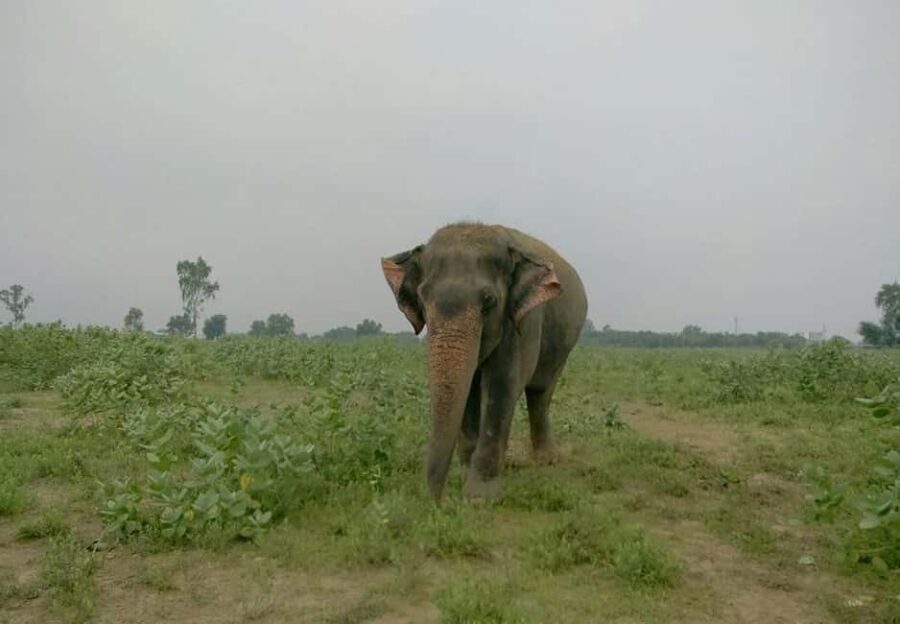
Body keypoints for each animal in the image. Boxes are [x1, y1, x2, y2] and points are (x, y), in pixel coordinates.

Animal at [381, 223, 588, 500]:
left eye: (489, 300)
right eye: (422, 298)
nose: (437, 501)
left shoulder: (523, 320)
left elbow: (502, 385)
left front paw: (478, 498)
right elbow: (469, 389)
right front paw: (462, 475)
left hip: (564, 345)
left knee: (540, 392)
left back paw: (547, 460)